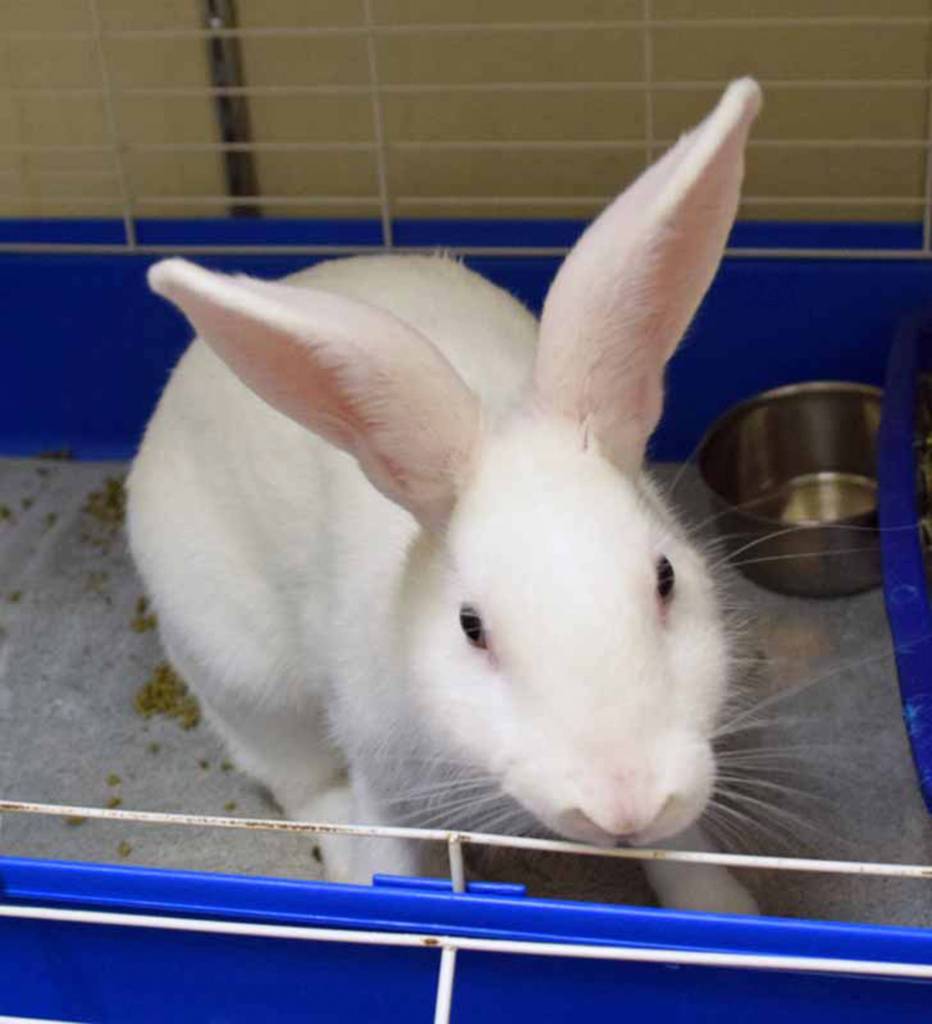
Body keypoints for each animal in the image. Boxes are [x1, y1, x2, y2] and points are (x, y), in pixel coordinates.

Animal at [126, 78, 762, 914]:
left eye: (666, 579)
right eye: (471, 627)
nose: (621, 803)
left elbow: (682, 850)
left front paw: (727, 909)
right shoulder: (382, 768)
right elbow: (393, 852)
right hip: (244, 675)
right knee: (298, 779)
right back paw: (337, 844)